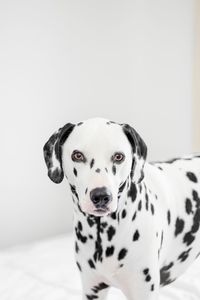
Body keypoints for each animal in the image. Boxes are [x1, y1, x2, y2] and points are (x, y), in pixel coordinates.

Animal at [43, 118, 200, 300]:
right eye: (77, 155)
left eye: (118, 156)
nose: (101, 196)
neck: (103, 235)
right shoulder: (92, 289)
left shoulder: (144, 291)